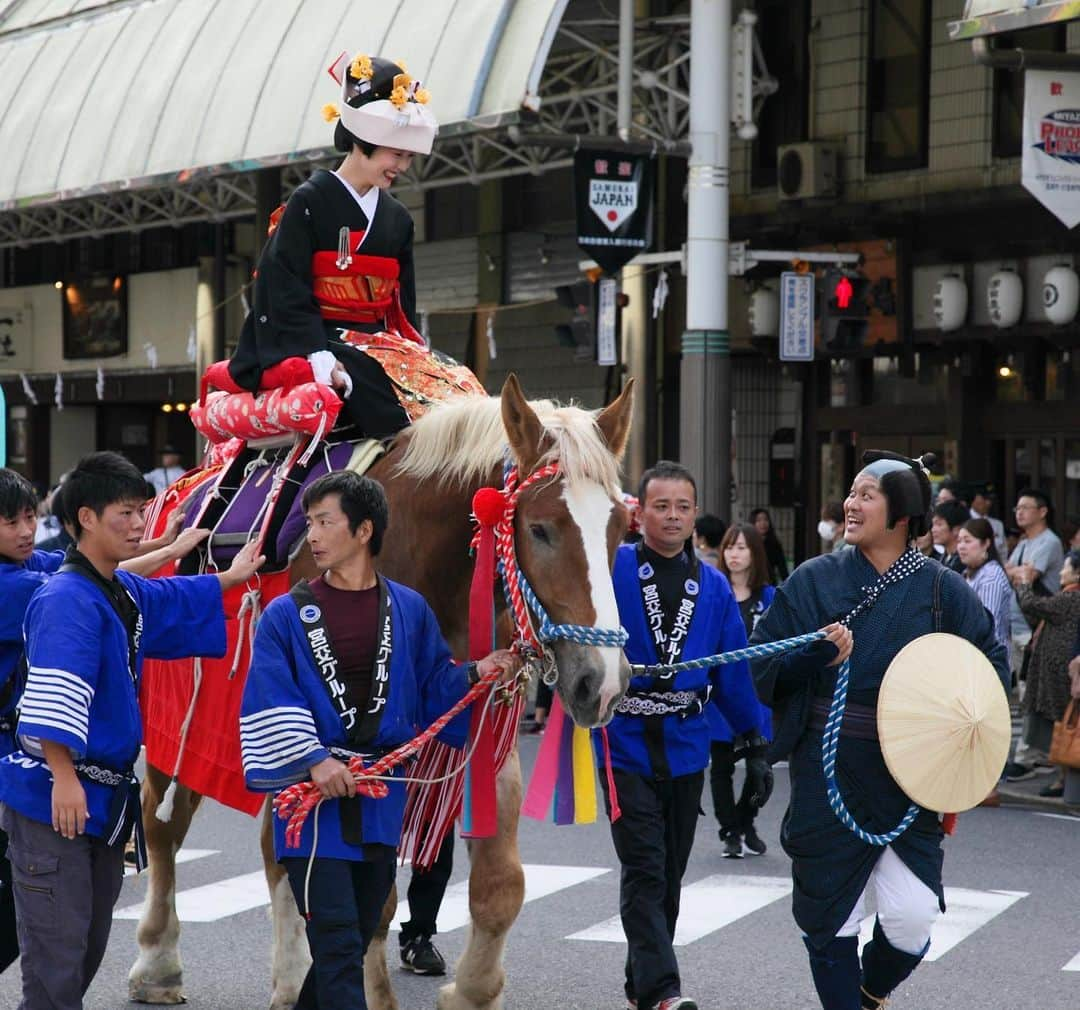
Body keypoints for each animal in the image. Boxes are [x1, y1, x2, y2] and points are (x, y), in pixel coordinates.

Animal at [128, 375, 630, 1006]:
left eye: (620, 530)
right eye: (539, 529)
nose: (601, 682)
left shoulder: (485, 721)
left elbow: (501, 886)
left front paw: (472, 990)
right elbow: (372, 888)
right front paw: (369, 991)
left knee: (276, 848)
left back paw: (291, 976)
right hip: (179, 705)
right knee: (163, 827)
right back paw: (157, 962)